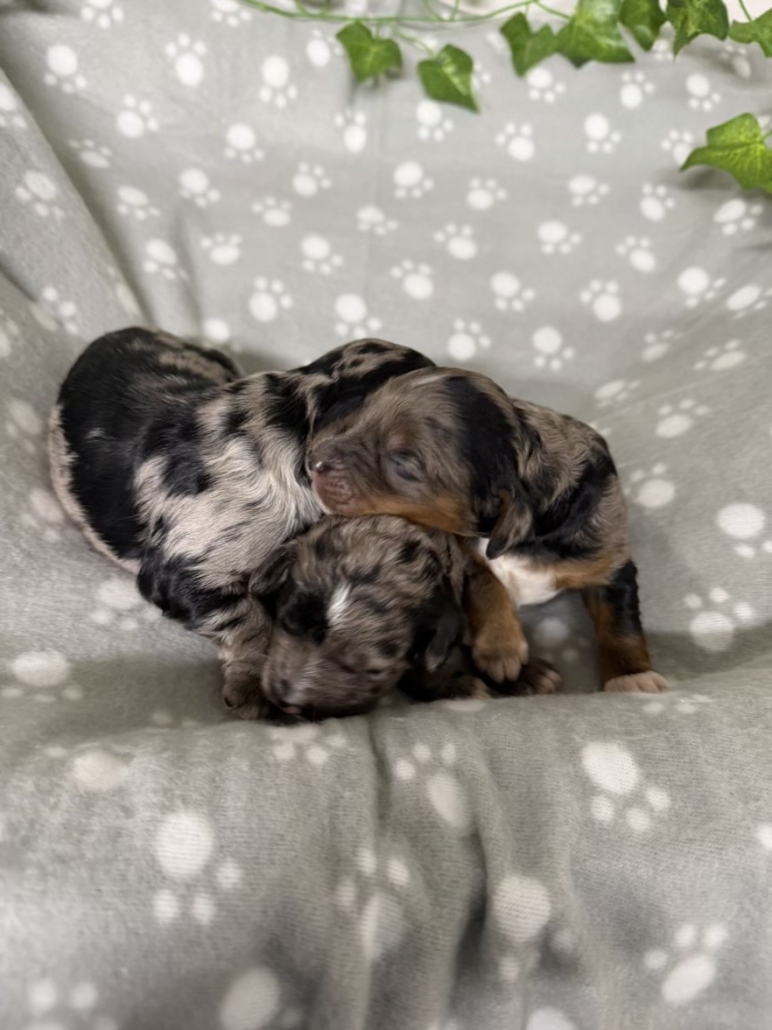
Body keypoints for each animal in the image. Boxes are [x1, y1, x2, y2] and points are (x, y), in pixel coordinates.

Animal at [254, 514, 560, 720]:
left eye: (371, 670)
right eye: (285, 619)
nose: (283, 698)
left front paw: (526, 673)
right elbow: (420, 672)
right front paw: (459, 686)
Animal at [307, 364, 667, 694]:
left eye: (404, 461)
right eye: (362, 416)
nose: (313, 460)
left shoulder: (607, 552)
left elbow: (618, 620)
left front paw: (631, 677)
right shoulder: (461, 549)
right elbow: (484, 582)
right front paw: (501, 650)